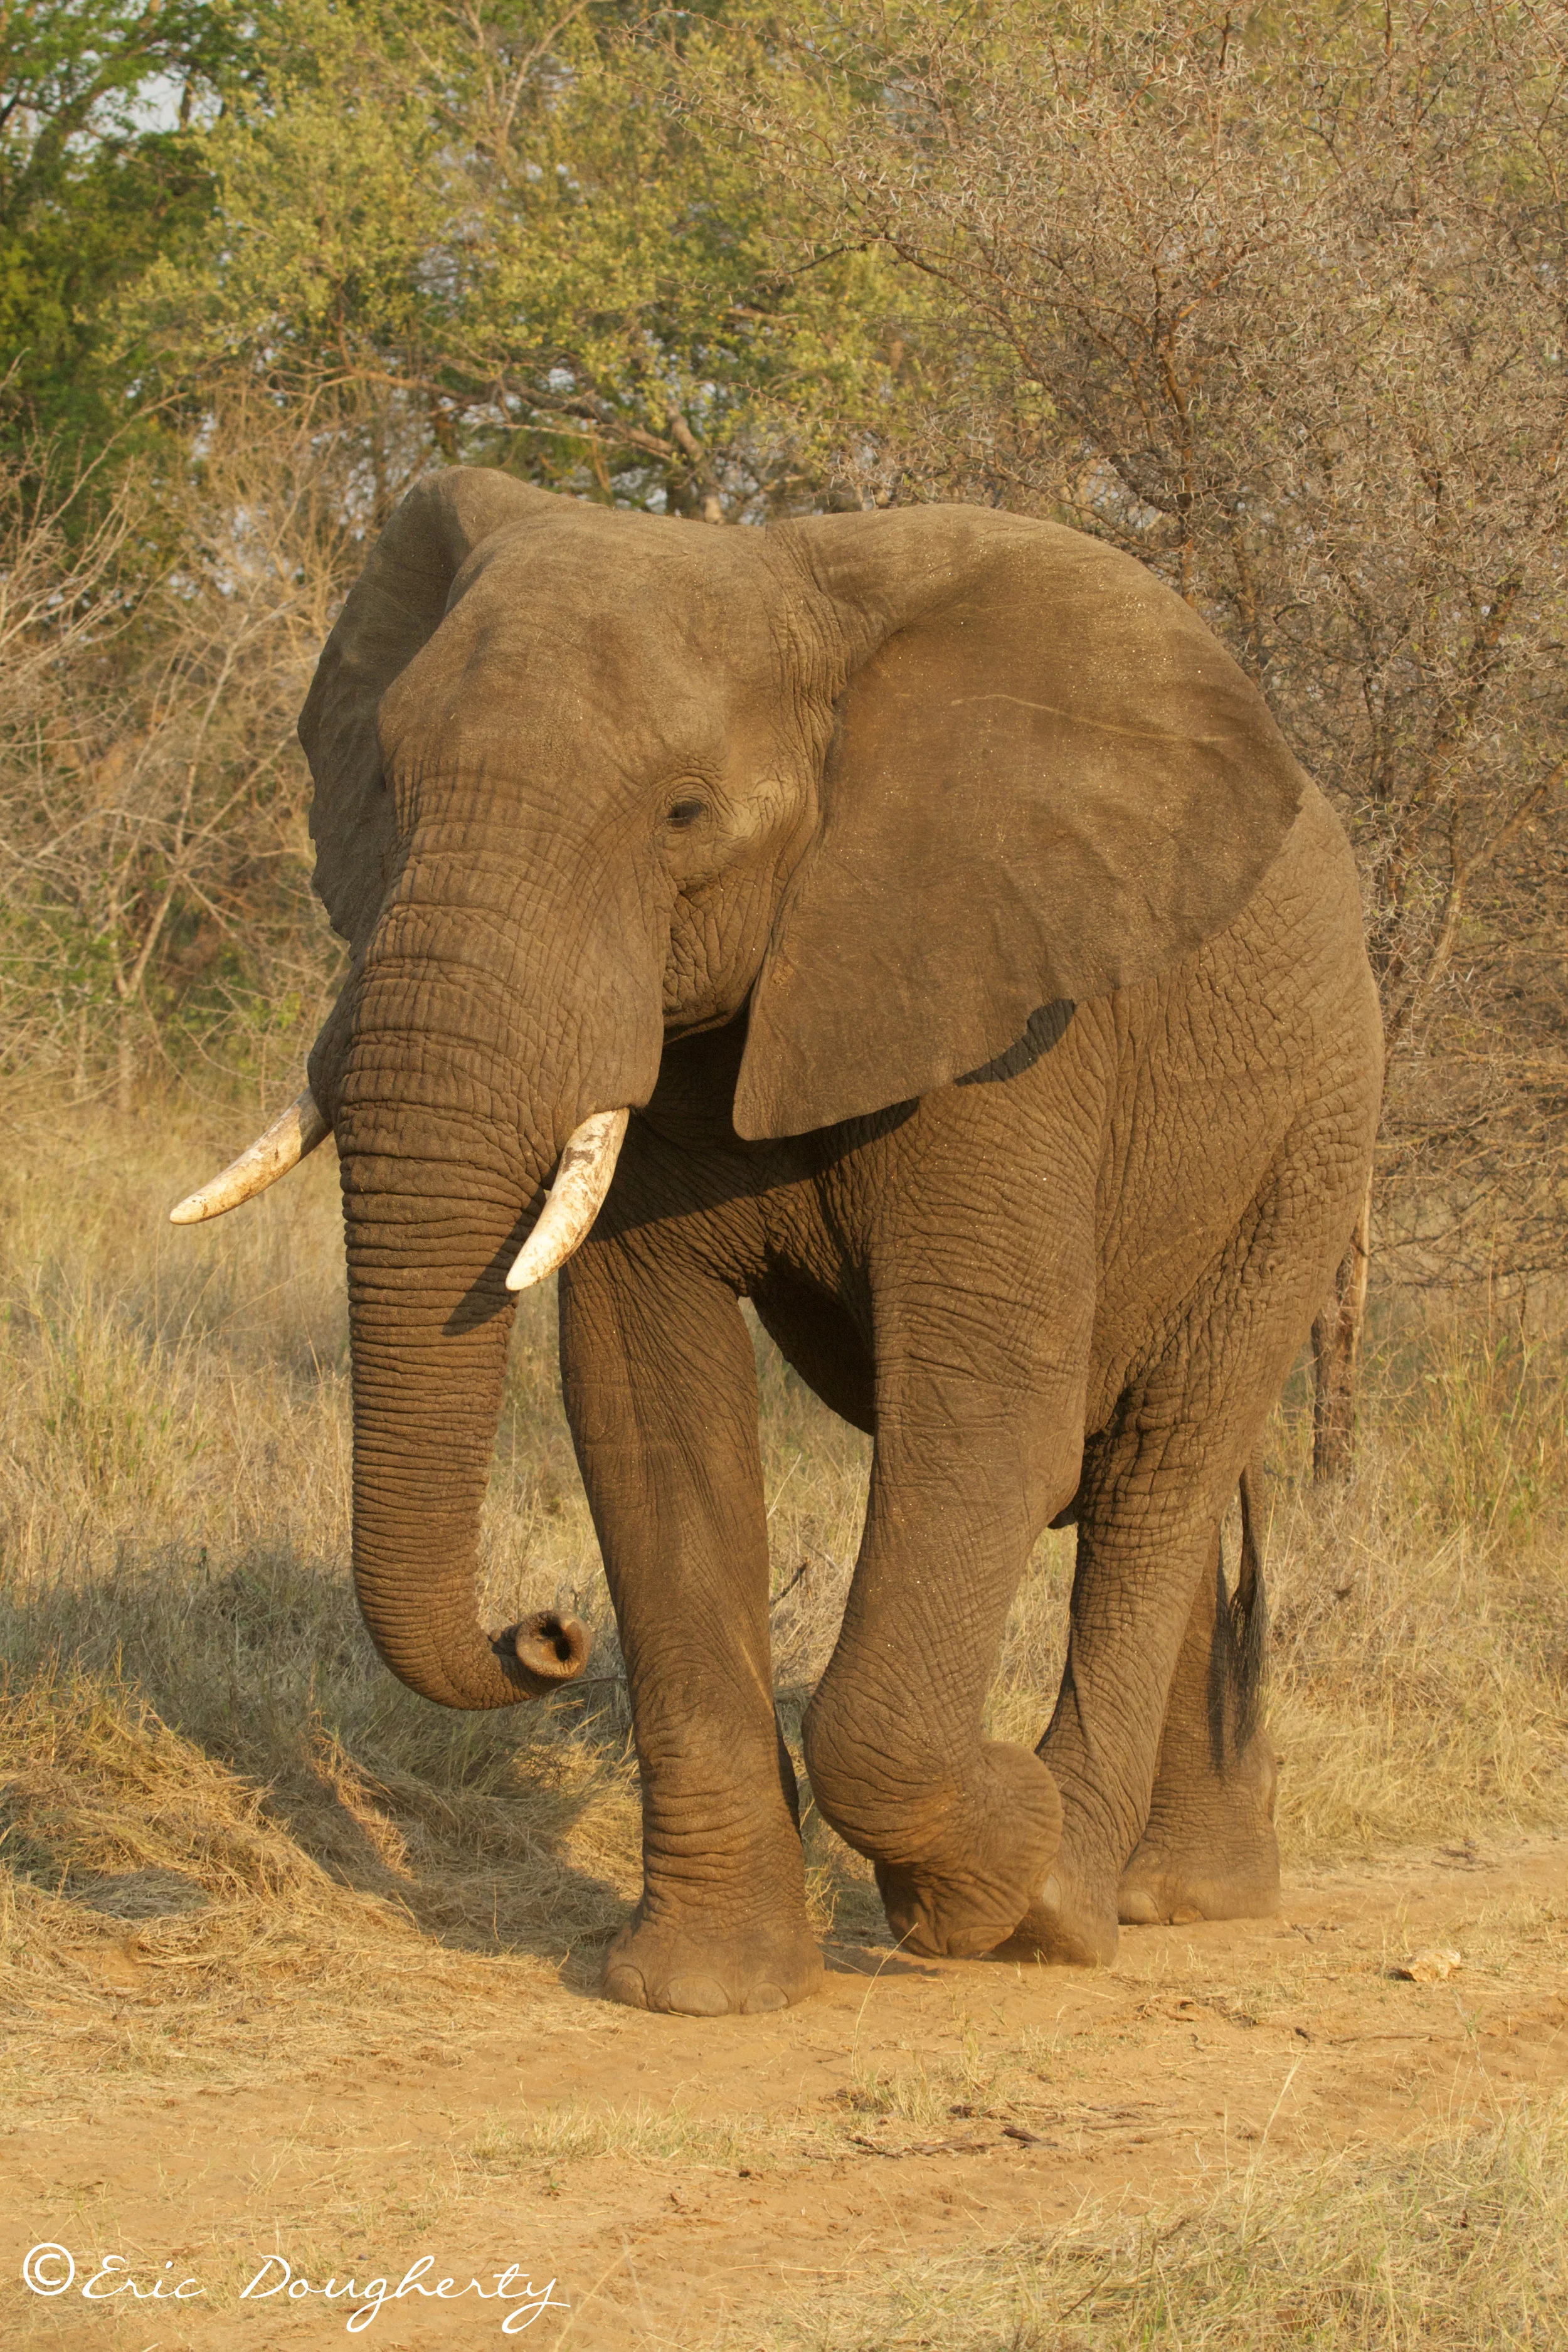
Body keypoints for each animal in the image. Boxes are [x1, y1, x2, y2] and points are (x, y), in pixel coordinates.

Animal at [172, 469, 1382, 2017]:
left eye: (685, 814)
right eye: (386, 783)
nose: (543, 1632)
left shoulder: (1008, 1027)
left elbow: (986, 1424)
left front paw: (989, 1878)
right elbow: (645, 1413)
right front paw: (701, 1991)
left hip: (1312, 1130)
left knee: (1156, 1467)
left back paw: (1080, 1904)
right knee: (1149, 1470)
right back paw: (1172, 1893)